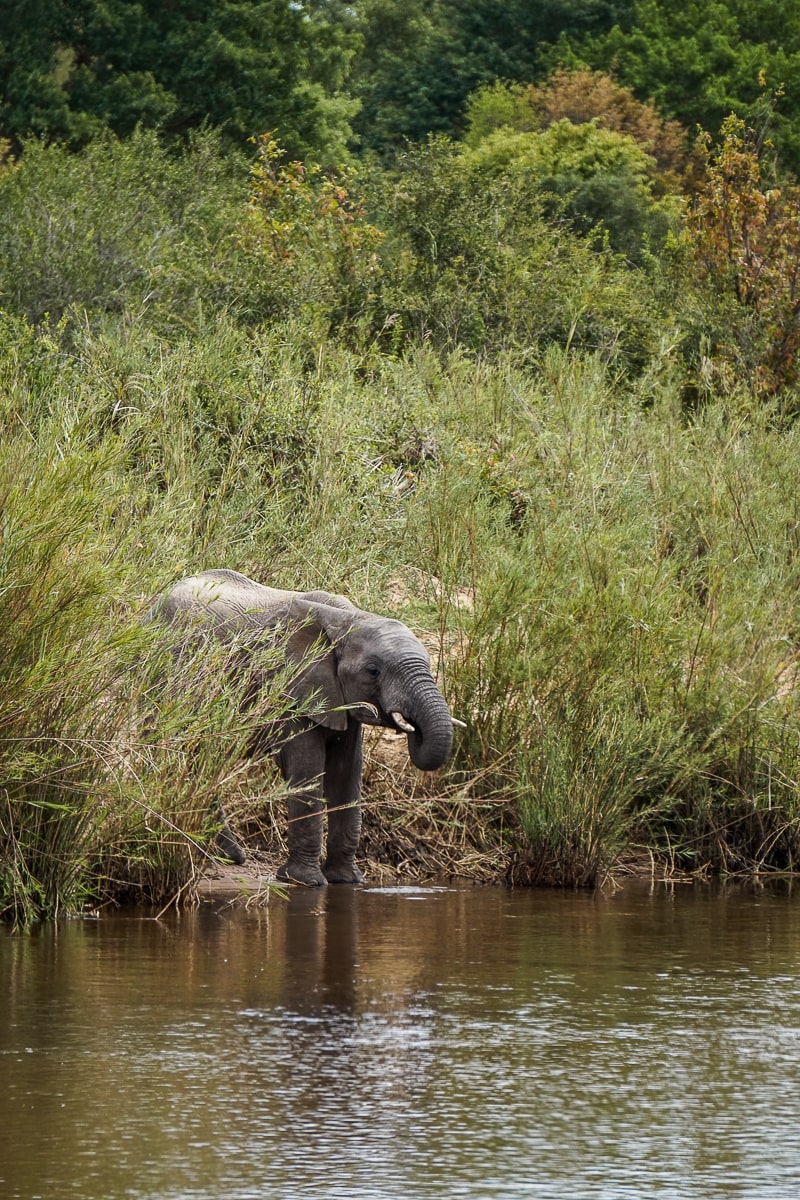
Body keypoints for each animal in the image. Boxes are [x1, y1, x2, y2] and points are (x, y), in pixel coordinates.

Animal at [151, 569, 455, 886]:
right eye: (373, 671)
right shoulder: (290, 687)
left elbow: (346, 776)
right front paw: (305, 881)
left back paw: (227, 856)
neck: (349, 618)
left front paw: (348, 880)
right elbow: (308, 769)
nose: (410, 726)